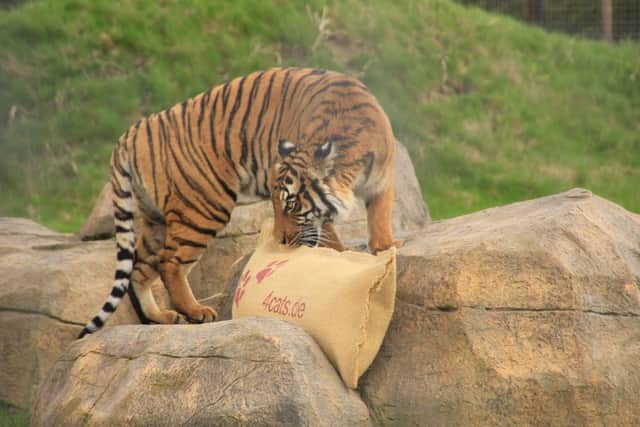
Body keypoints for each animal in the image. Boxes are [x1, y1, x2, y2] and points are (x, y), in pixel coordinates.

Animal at [79, 67, 396, 338]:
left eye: (291, 205)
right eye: (278, 204)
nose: (281, 241)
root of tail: (133, 132)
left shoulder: (382, 181)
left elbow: (380, 218)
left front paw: (384, 249)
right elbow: (328, 230)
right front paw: (343, 257)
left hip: (155, 219)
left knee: (141, 268)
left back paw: (162, 317)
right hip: (204, 207)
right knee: (169, 262)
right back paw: (196, 311)